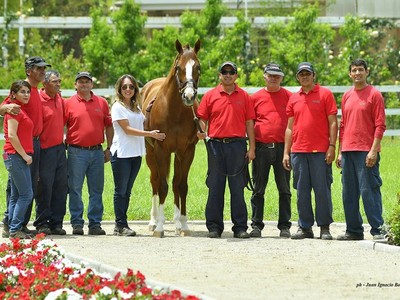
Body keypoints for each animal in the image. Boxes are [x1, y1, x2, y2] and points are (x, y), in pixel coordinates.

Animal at [142, 39, 202, 237]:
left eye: (198, 67)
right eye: (178, 67)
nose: (189, 96)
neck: (175, 111)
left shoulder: (187, 151)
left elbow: (181, 186)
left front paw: (183, 225)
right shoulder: (162, 150)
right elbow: (162, 186)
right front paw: (160, 227)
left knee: (175, 183)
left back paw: (176, 223)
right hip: (150, 153)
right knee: (155, 181)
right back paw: (153, 221)